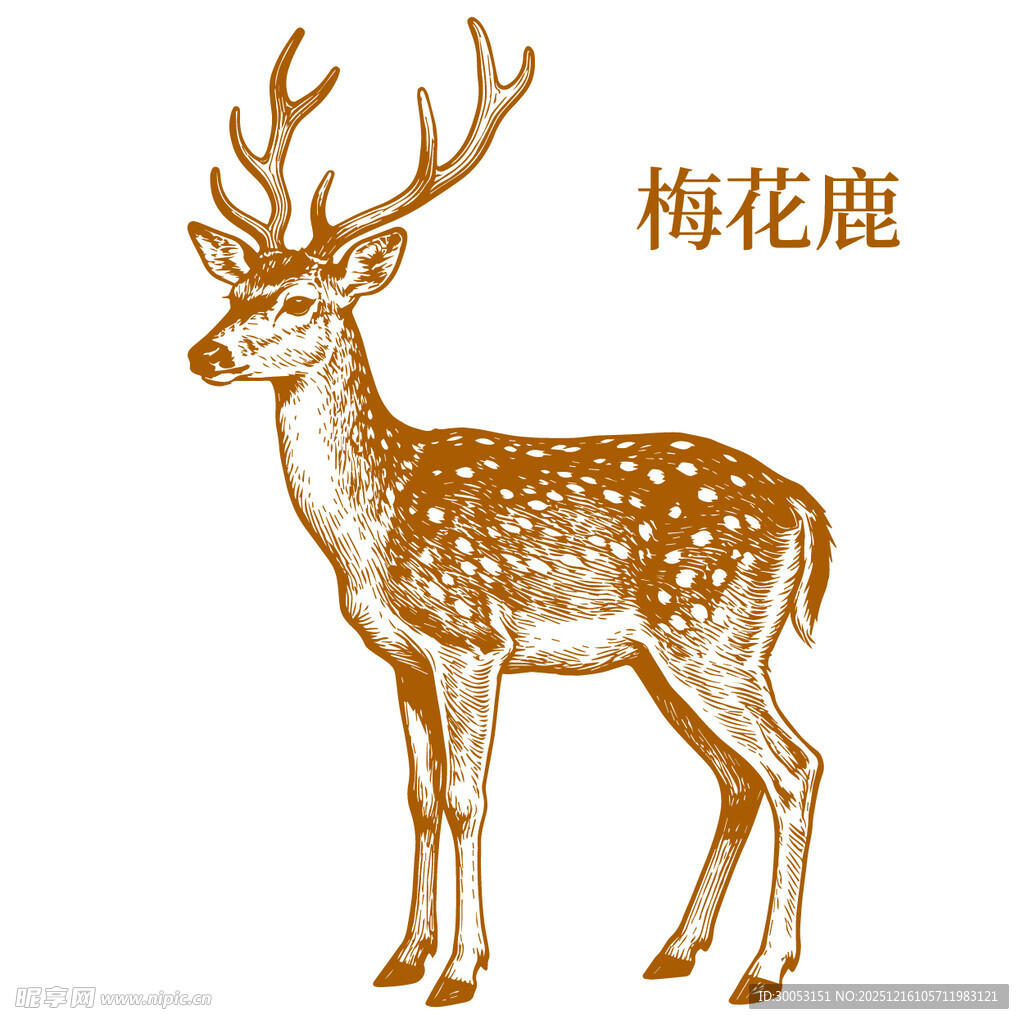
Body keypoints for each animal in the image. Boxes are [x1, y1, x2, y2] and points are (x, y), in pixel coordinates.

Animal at [185, 19, 832, 1008]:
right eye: (233, 292)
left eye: (301, 299)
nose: (204, 353)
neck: (372, 529)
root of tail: (802, 504)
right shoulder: (402, 656)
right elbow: (418, 797)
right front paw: (400, 958)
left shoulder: (470, 640)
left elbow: (467, 799)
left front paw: (460, 970)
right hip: (670, 659)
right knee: (737, 776)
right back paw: (675, 951)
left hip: (716, 634)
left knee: (795, 766)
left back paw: (762, 971)